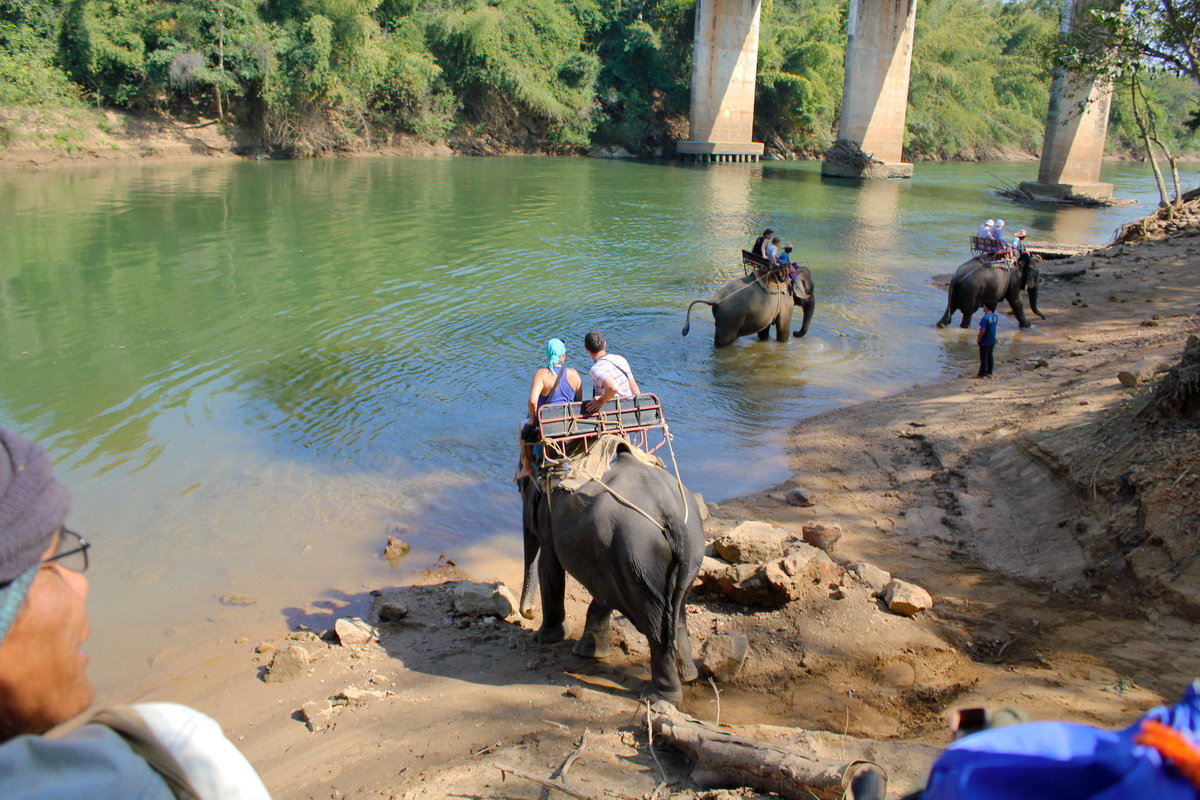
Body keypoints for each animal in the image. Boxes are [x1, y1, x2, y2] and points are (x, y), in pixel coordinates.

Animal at [516, 448, 700, 705]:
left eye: (521, 490)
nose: (529, 613)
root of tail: (670, 512)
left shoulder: (548, 518)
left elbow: (549, 567)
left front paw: (546, 639)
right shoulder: (605, 552)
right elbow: (604, 590)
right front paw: (589, 652)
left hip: (639, 554)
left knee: (654, 622)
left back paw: (657, 697)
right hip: (686, 550)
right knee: (678, 608)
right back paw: (688, 676)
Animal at [686, 268, 816, 347]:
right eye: (810, 291)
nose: (796, 333)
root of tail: (716, 298)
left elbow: (763, 331)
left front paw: (765, 340)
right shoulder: (786, 303)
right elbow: (783, 329)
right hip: (729, 319)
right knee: (724, 341)